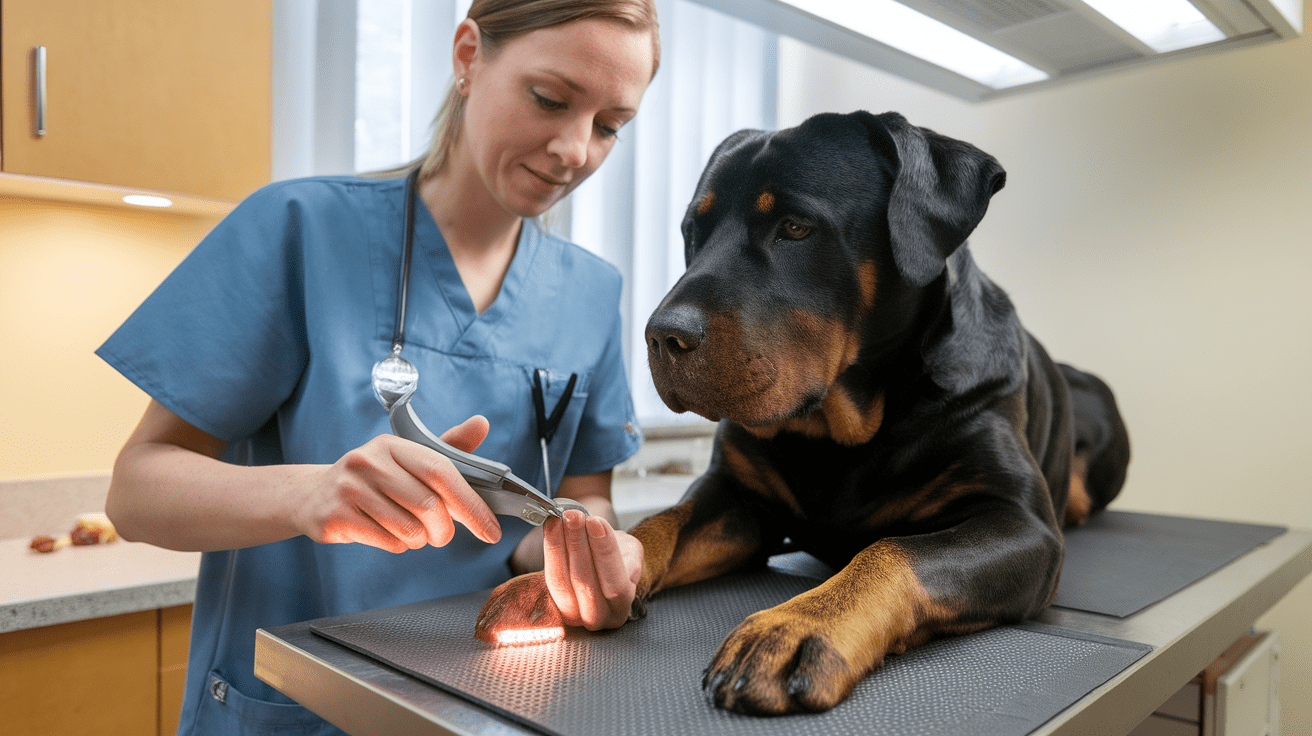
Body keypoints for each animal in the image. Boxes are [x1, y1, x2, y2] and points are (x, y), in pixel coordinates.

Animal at [480, 112, 1128, 713]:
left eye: (794, 227)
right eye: (694, 232)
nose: (660, 336)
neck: (844, 429)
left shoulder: (1022, 525)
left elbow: (894, 551)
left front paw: (798, 625)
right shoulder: (740, 499)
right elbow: (660, 522)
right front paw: (559, 576)